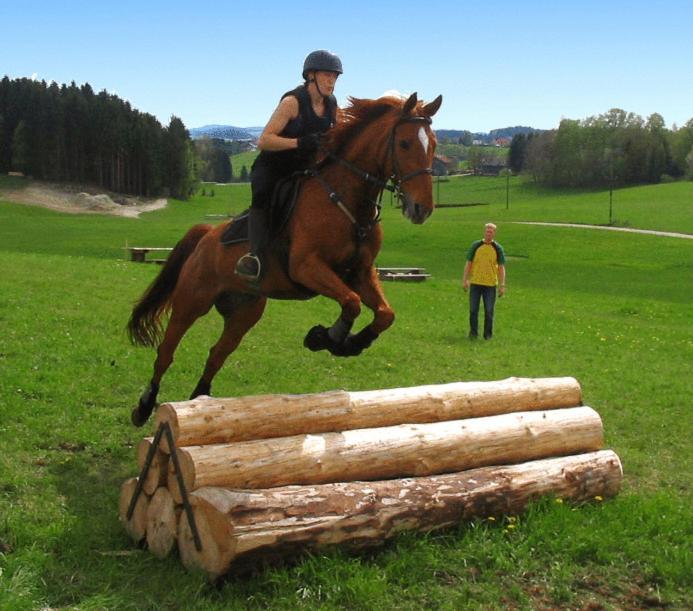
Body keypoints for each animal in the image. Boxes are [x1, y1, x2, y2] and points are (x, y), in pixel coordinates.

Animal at [128, 92, 444, 426]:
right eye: (405, 144)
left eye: (434, 145)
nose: (422, 208)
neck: (347, 200)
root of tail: (207, 235)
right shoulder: (306, 267)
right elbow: (352, 302)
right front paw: (325, 337)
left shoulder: (360, 273)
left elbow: (384, 314)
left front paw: (350, 343)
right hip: (192, 300)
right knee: (166, 351)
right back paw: (144, 407)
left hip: (244, 312)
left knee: (217, 353)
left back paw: (201, 402)